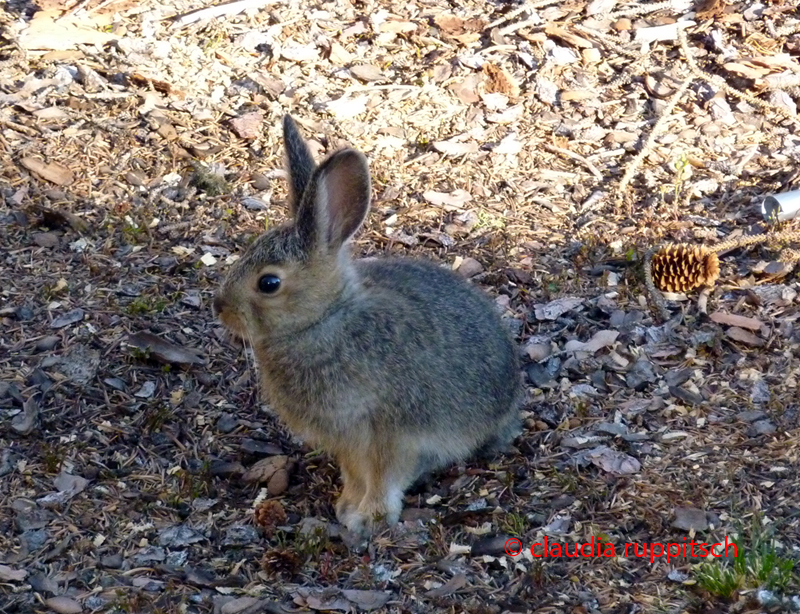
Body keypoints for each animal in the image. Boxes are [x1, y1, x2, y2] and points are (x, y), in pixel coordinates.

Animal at [214, 115, 524, 540]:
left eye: (269, 283)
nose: (220, 307)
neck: (325, 317)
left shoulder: (389, 432)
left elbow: (383, 478)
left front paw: (369, 519)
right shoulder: (346, 439)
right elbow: (355, 474)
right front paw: (347, 506)